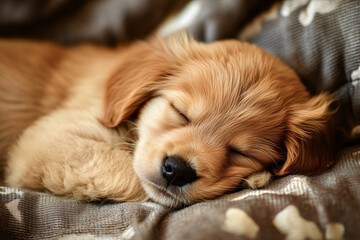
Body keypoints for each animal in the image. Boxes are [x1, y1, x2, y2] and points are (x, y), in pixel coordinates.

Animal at [0, 35, 334, 206]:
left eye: (243, 152)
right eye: (180, 112)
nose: (178, 170)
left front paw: (254, 177)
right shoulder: (50, 138)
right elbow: (130, 175)